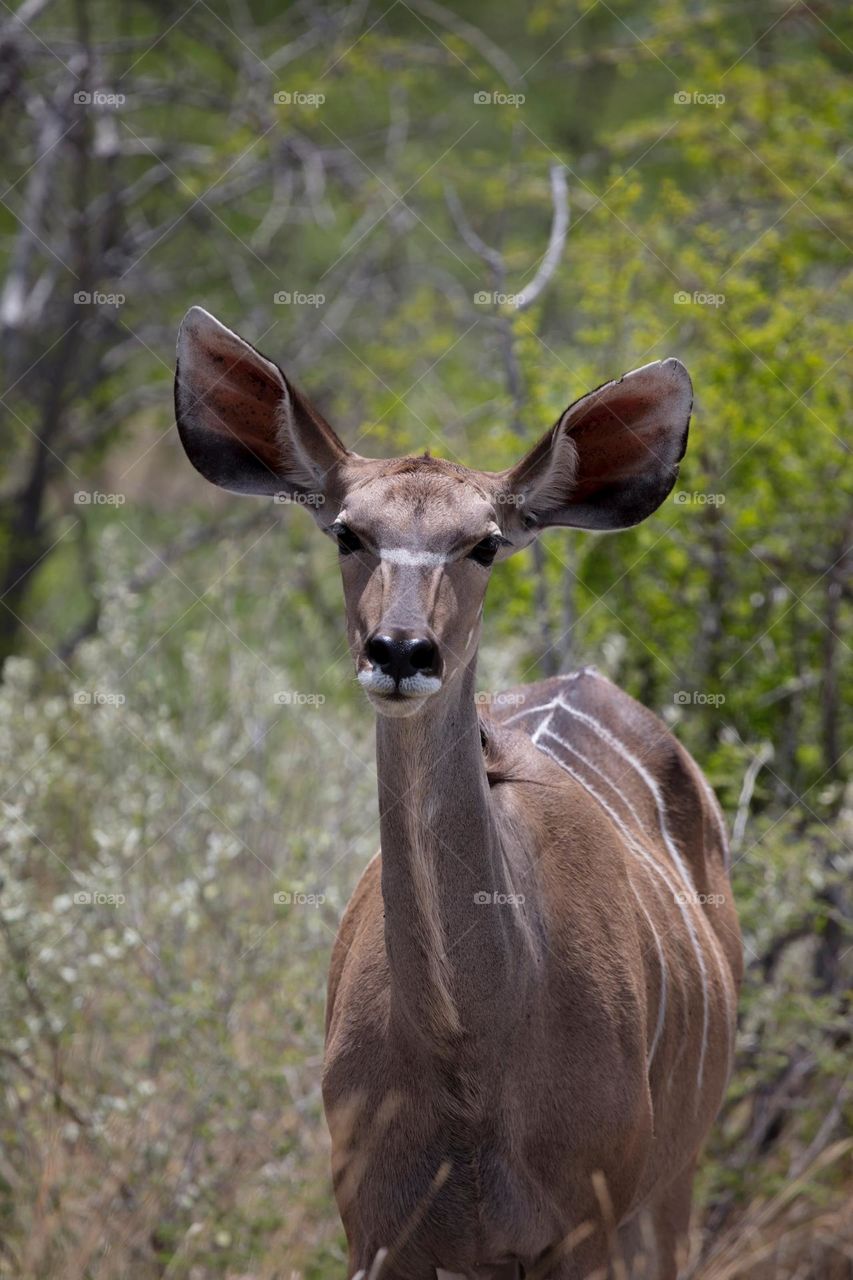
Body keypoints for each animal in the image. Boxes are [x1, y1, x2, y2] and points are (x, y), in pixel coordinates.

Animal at [173, 306, 742, 1280]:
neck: (467, 1057)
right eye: (346, 532)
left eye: (484, 544)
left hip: (671, 1187)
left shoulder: (580, 1233)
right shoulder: (376, 1230)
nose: (401, 652)